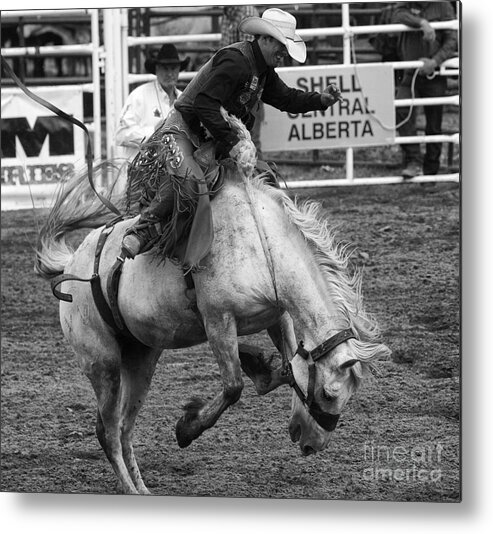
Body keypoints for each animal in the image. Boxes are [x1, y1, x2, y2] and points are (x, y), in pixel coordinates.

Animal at [34, 158, 390, 494]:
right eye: (329, 394)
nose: (311, 445)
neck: (261, 247)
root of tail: (72, 264)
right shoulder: (218, 320)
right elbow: (234, 386)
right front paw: (186, 427)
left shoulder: (278, 316)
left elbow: (288, 367)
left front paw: (258, 363)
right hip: (102, 363)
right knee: (107, 431)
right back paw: (131, 489)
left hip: (141, 359)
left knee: (123, 428)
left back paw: (142, 489)